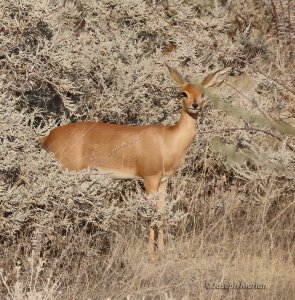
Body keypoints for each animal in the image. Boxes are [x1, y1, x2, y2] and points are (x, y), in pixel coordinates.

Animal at [40, 64, 231, 258]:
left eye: (203, 93)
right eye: (183, 93)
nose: (195, 105)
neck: (168, 140)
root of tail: (48, 136)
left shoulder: (164, 181)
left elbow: (161, 214)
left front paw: (162, 251)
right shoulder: (150, 178)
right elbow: (151, 214)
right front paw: (151, 255)